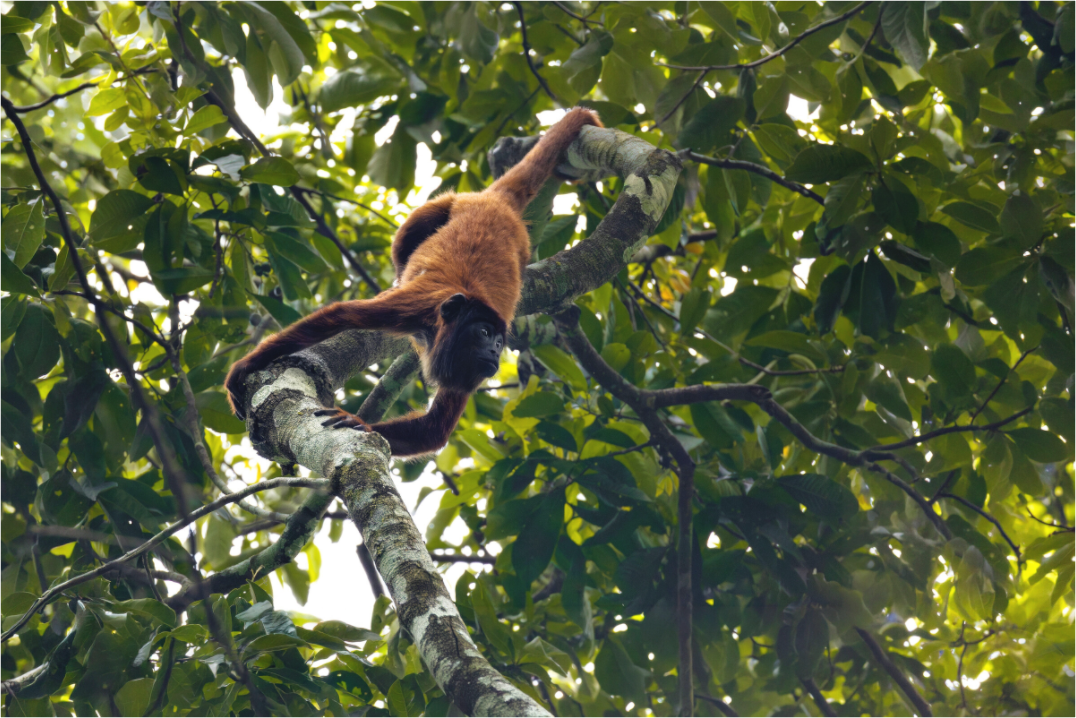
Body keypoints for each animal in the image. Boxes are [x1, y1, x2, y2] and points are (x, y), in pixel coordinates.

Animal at [226, 107, 602, 457]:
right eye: (484, 333)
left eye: (499, 341)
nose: (495, 350)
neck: (441, 324)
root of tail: (497, 202)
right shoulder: (414, 306)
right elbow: (340, 315)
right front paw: (242, 370)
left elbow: (433, 430)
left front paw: (358, 422)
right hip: (453, 200)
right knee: (408, 237)